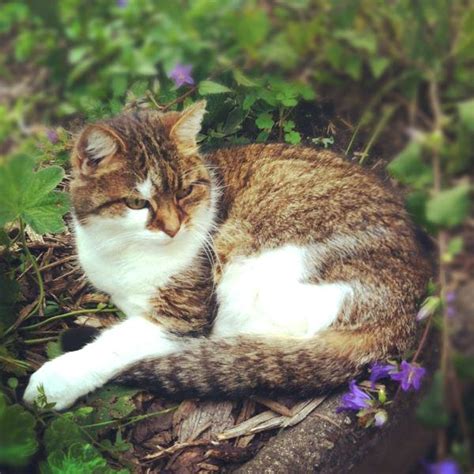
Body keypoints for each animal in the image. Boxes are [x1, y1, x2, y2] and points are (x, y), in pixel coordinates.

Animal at [24, 102, 432, 410]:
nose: (173, 227)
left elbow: (116, 345)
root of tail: (401, 318)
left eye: (185, 191)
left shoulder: (185, 316)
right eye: (137, 203)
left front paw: (54, 381)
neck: (121, 251)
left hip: (255, 271)